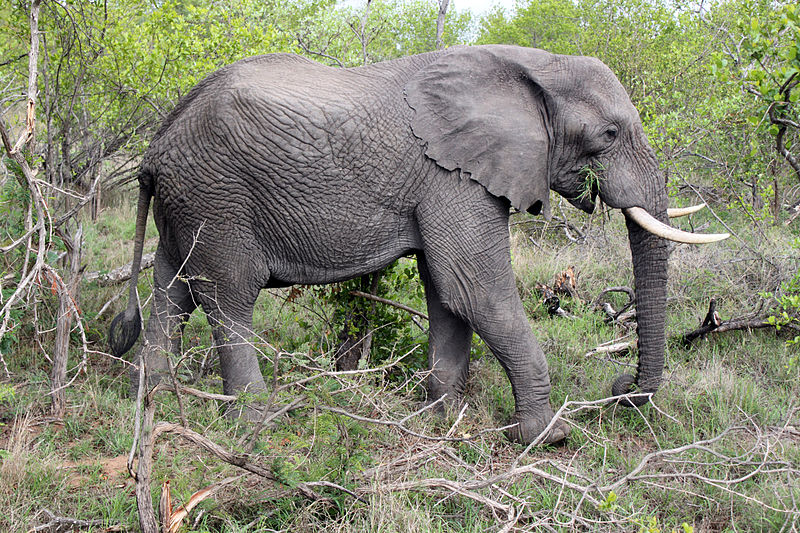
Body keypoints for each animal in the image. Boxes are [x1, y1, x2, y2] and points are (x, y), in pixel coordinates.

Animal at [106, 45, 724, 444]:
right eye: (609, 134)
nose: (620, 389)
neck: (533, 68)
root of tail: (156, 146)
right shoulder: (456, 176)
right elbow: (475, 288)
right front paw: (549, 437)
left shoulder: (453, 177)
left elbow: (445, 293)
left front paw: (443, 416)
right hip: (217, 196)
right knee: (227, 296)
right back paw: (260, 422)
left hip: (187, 203)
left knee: (171, 288)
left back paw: (150, 394)